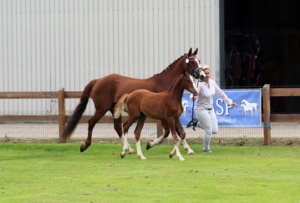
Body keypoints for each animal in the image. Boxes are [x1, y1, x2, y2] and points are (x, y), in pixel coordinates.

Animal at [62, 47, 205, 152]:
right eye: (192, 62)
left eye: (199, 61)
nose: (203, 76)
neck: (166, 84)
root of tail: (98, 80)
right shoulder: (165, 115)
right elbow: (168, 132)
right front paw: (150, 144)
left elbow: (178, 131)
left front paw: (188, 148)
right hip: (101, 109)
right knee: (91, 123)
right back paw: (85, 146)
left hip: (114, 110)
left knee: (118, 127)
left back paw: (129, 149)